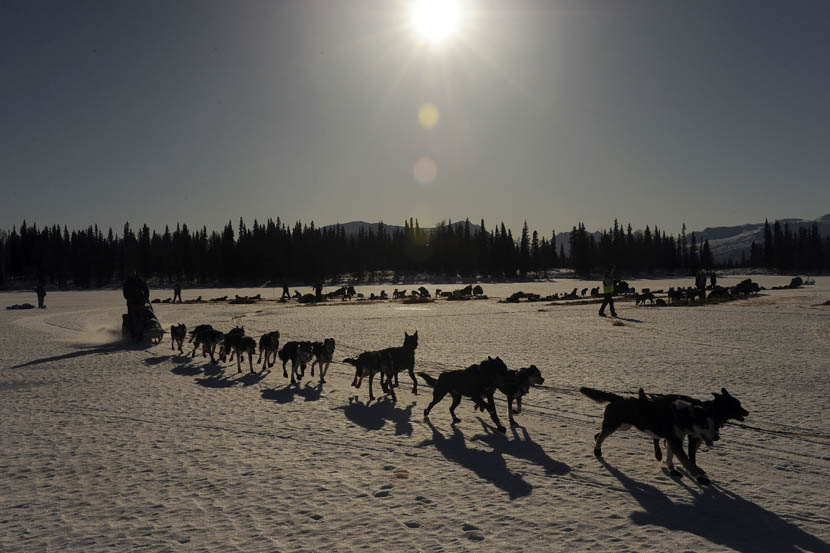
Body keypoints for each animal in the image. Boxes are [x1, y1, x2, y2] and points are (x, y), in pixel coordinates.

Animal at [580, 386, 724, 486]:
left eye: (714, 426)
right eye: (705, 425)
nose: (717, 437)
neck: (679, 415)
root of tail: (618, 398)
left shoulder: (674, 440)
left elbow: (670, 457)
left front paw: (672, 469)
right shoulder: (674, 441)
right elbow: (687, 463)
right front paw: (700, 478)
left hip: (624, 426)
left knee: (599, 433)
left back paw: (597, 441)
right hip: (615, 424)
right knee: (602, 435)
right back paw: (597, 450)